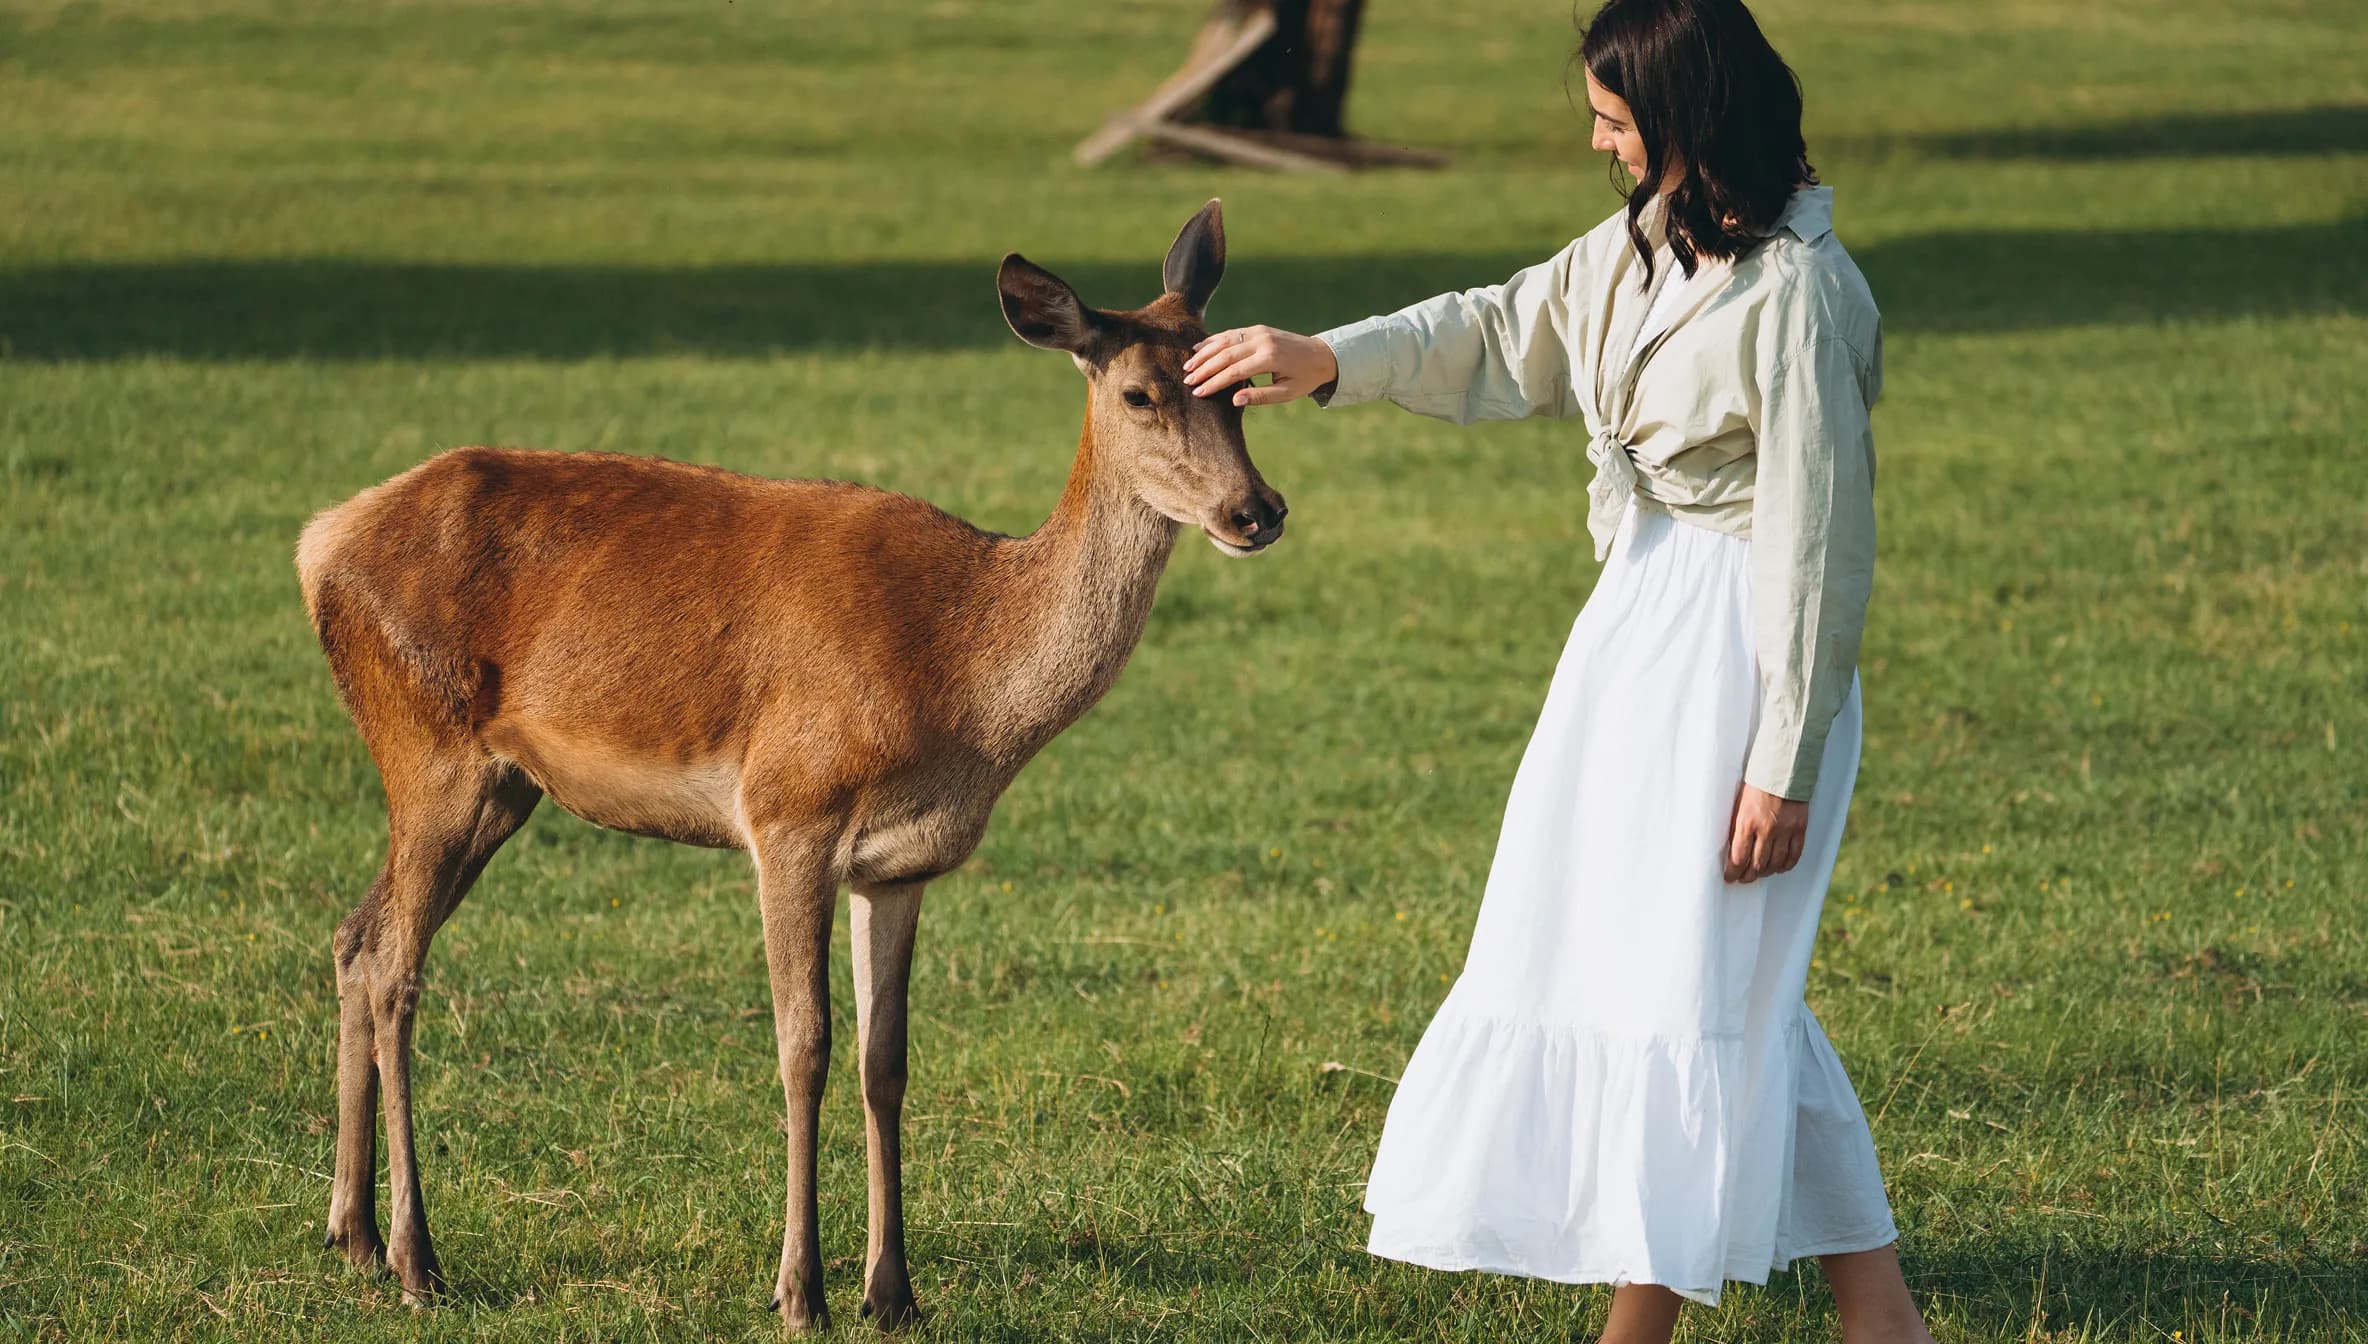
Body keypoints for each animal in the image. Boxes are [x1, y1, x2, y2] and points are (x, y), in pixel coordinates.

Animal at [294, 200, 1282, 1329]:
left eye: (1239, 390)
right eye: (1138, 393)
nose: (1257, 510)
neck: (962, 676)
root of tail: (319, 544)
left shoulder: (901, 863)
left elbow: (886, 1061)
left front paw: (893, 1293)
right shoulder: (787, 808)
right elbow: (802, 1047)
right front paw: (799, 1291)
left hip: (498, 787)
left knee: (355, 937)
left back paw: (352, 1236)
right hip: (429, 747)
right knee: (396, 968)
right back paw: (417, 1259)